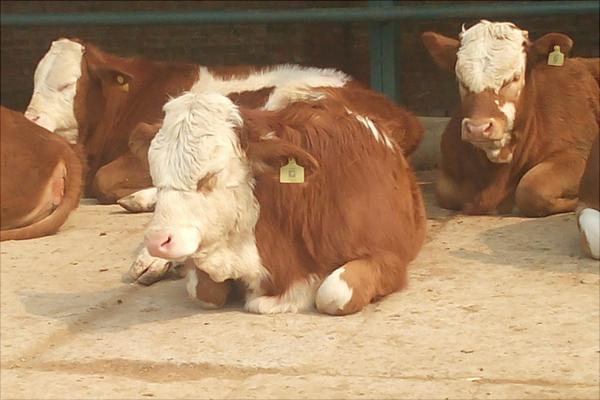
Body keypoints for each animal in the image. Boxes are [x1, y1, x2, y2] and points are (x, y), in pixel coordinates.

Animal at [130, 92, 426, 314]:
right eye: (155, 173)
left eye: (211, 175)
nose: (157, 241)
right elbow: (203, 290)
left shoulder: (388, 257)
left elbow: (333, 293)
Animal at [422, 19, 600, 216]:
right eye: (461, 80)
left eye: (514, 78)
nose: (478, 129)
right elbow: (447, 193)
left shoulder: (578, 152)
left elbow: (530, 189)